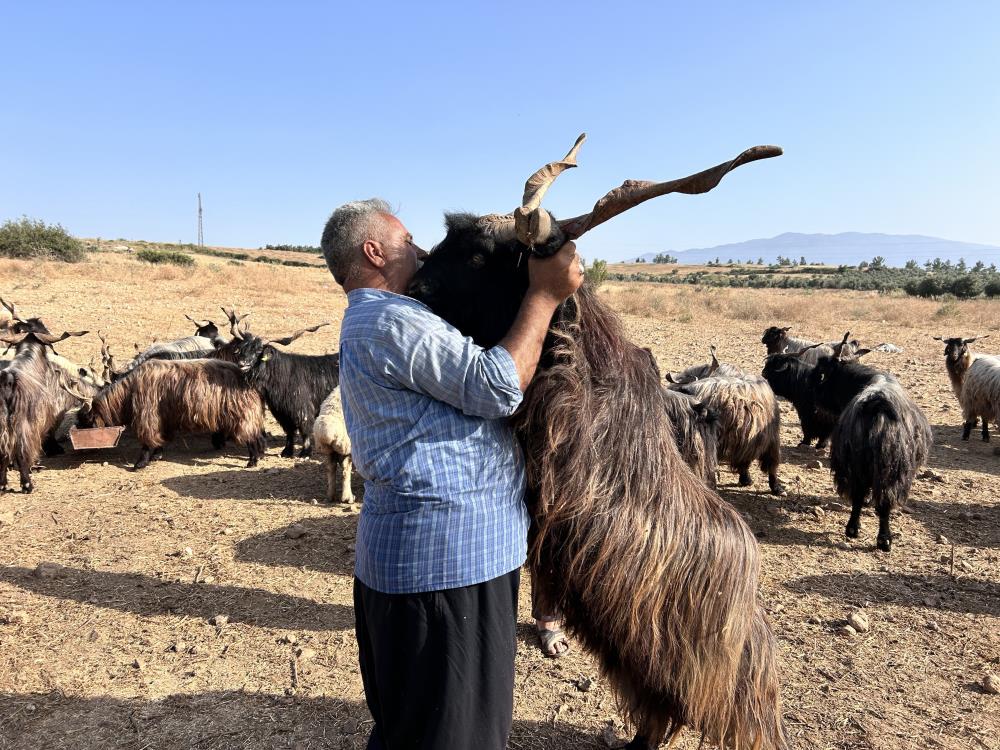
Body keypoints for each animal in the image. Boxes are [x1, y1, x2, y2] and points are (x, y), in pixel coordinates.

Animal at [76, 358, 266, 470]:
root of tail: (246, 379)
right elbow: (159, 439)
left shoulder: (147, 416)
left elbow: (147, 441)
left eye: (86, 420)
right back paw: (259, 456)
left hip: (242, 414)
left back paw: (252, 461)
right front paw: (157, 455)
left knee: (251, 437)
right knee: (257, 435)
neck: (127, 393)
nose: (81, 451)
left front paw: (140, 463)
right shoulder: (162, 418)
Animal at [211, 310, 336, 458]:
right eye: (241, 349)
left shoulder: (303, 410)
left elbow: (305, 431)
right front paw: (287, 451)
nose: (242, 364)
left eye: (258, 351)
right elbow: (289, 432)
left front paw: (305, 452)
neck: (283, 373)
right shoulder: (282, 411)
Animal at [808, 334, 932, 552]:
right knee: (880, 501)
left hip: (860, 464)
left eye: (821, 372)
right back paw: (880, 538)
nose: (811, 384)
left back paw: (857, 530)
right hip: (885, 469)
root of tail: (877, 403)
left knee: (861, 495)